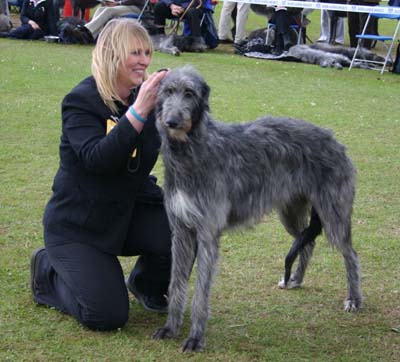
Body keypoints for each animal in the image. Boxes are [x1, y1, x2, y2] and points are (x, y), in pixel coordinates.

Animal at [152, 66, 362, 352]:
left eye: (189, 93)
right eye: (167, 91)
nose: (172, 121)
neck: (192, 150)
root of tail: (336, 141)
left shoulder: (207, 233)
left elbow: (201, 292)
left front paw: (195, 337)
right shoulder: (181, 231)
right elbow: (176, 283)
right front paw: (170, 327)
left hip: (334, 212)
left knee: (350, 253)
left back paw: (354, 299)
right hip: (291, 211)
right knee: (307, 242)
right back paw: (295, 279)